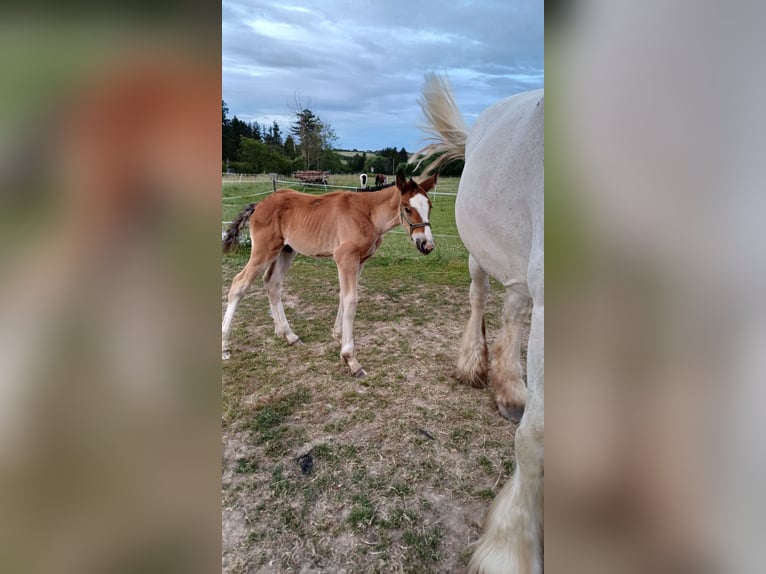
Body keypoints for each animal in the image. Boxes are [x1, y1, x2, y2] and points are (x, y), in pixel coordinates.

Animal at [224, 171, 438, 378]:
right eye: (407, 209)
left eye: (430, 206)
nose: (427, 245)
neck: (367, 213)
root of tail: (259, 204)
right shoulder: (345, 258)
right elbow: (351, 300)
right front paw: (351, 359)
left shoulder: (360, 261)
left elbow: (343, 296)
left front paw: (337, 334)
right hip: (264, 251)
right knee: (239, 284)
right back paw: (225, 345)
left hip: (285, 251)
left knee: (272, 284)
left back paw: (288, 334)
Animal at [414, 75, 544, 574]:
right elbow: (537, 440)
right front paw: (513, 552)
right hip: (478, 255)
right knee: (480, 299)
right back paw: (473, 365)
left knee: (512, 312)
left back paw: (510, 390)